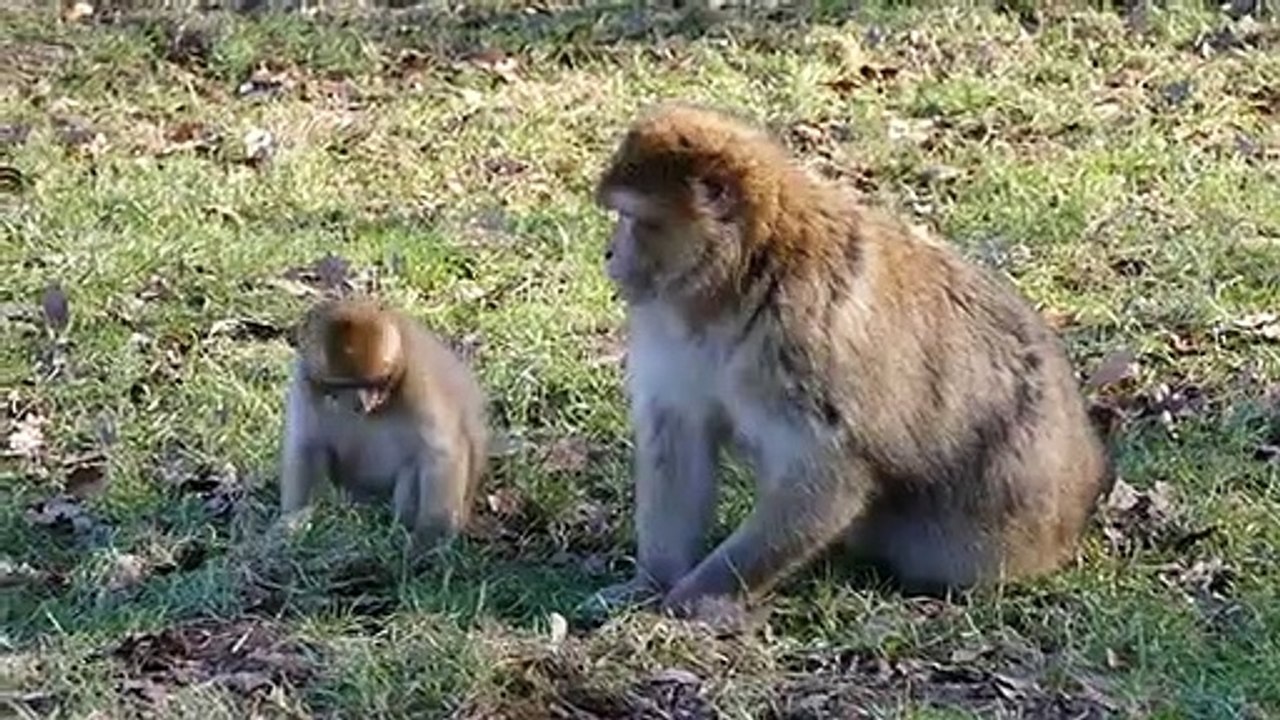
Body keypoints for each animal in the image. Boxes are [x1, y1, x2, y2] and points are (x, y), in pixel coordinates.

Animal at [277, 297, 489, 550]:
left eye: (375, 382)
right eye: (344, 385)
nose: (362, 402)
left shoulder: (417, 378)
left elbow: (440, 454)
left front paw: (429, 538)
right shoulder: (305, 380)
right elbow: (307, 447)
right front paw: (292, 524)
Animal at [587, 103, 1114, 619]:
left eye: (632, 218)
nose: (609, 253)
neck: (732, 289)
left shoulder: (804, 342)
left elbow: (829, 471)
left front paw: (702, 593)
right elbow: (678, 440)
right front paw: (652, 584)